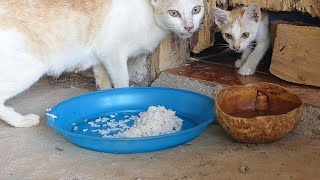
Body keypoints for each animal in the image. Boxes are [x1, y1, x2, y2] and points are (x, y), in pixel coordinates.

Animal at [0, 0, 205, 127]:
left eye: (196, 10)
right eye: (174, 13)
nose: (189, 27)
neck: (150, 16)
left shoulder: (99, 58)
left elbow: (104, 85)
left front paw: (105, 100)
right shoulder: (113, 53)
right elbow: (122, 84)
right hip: (28, 68)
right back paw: (20, 121)